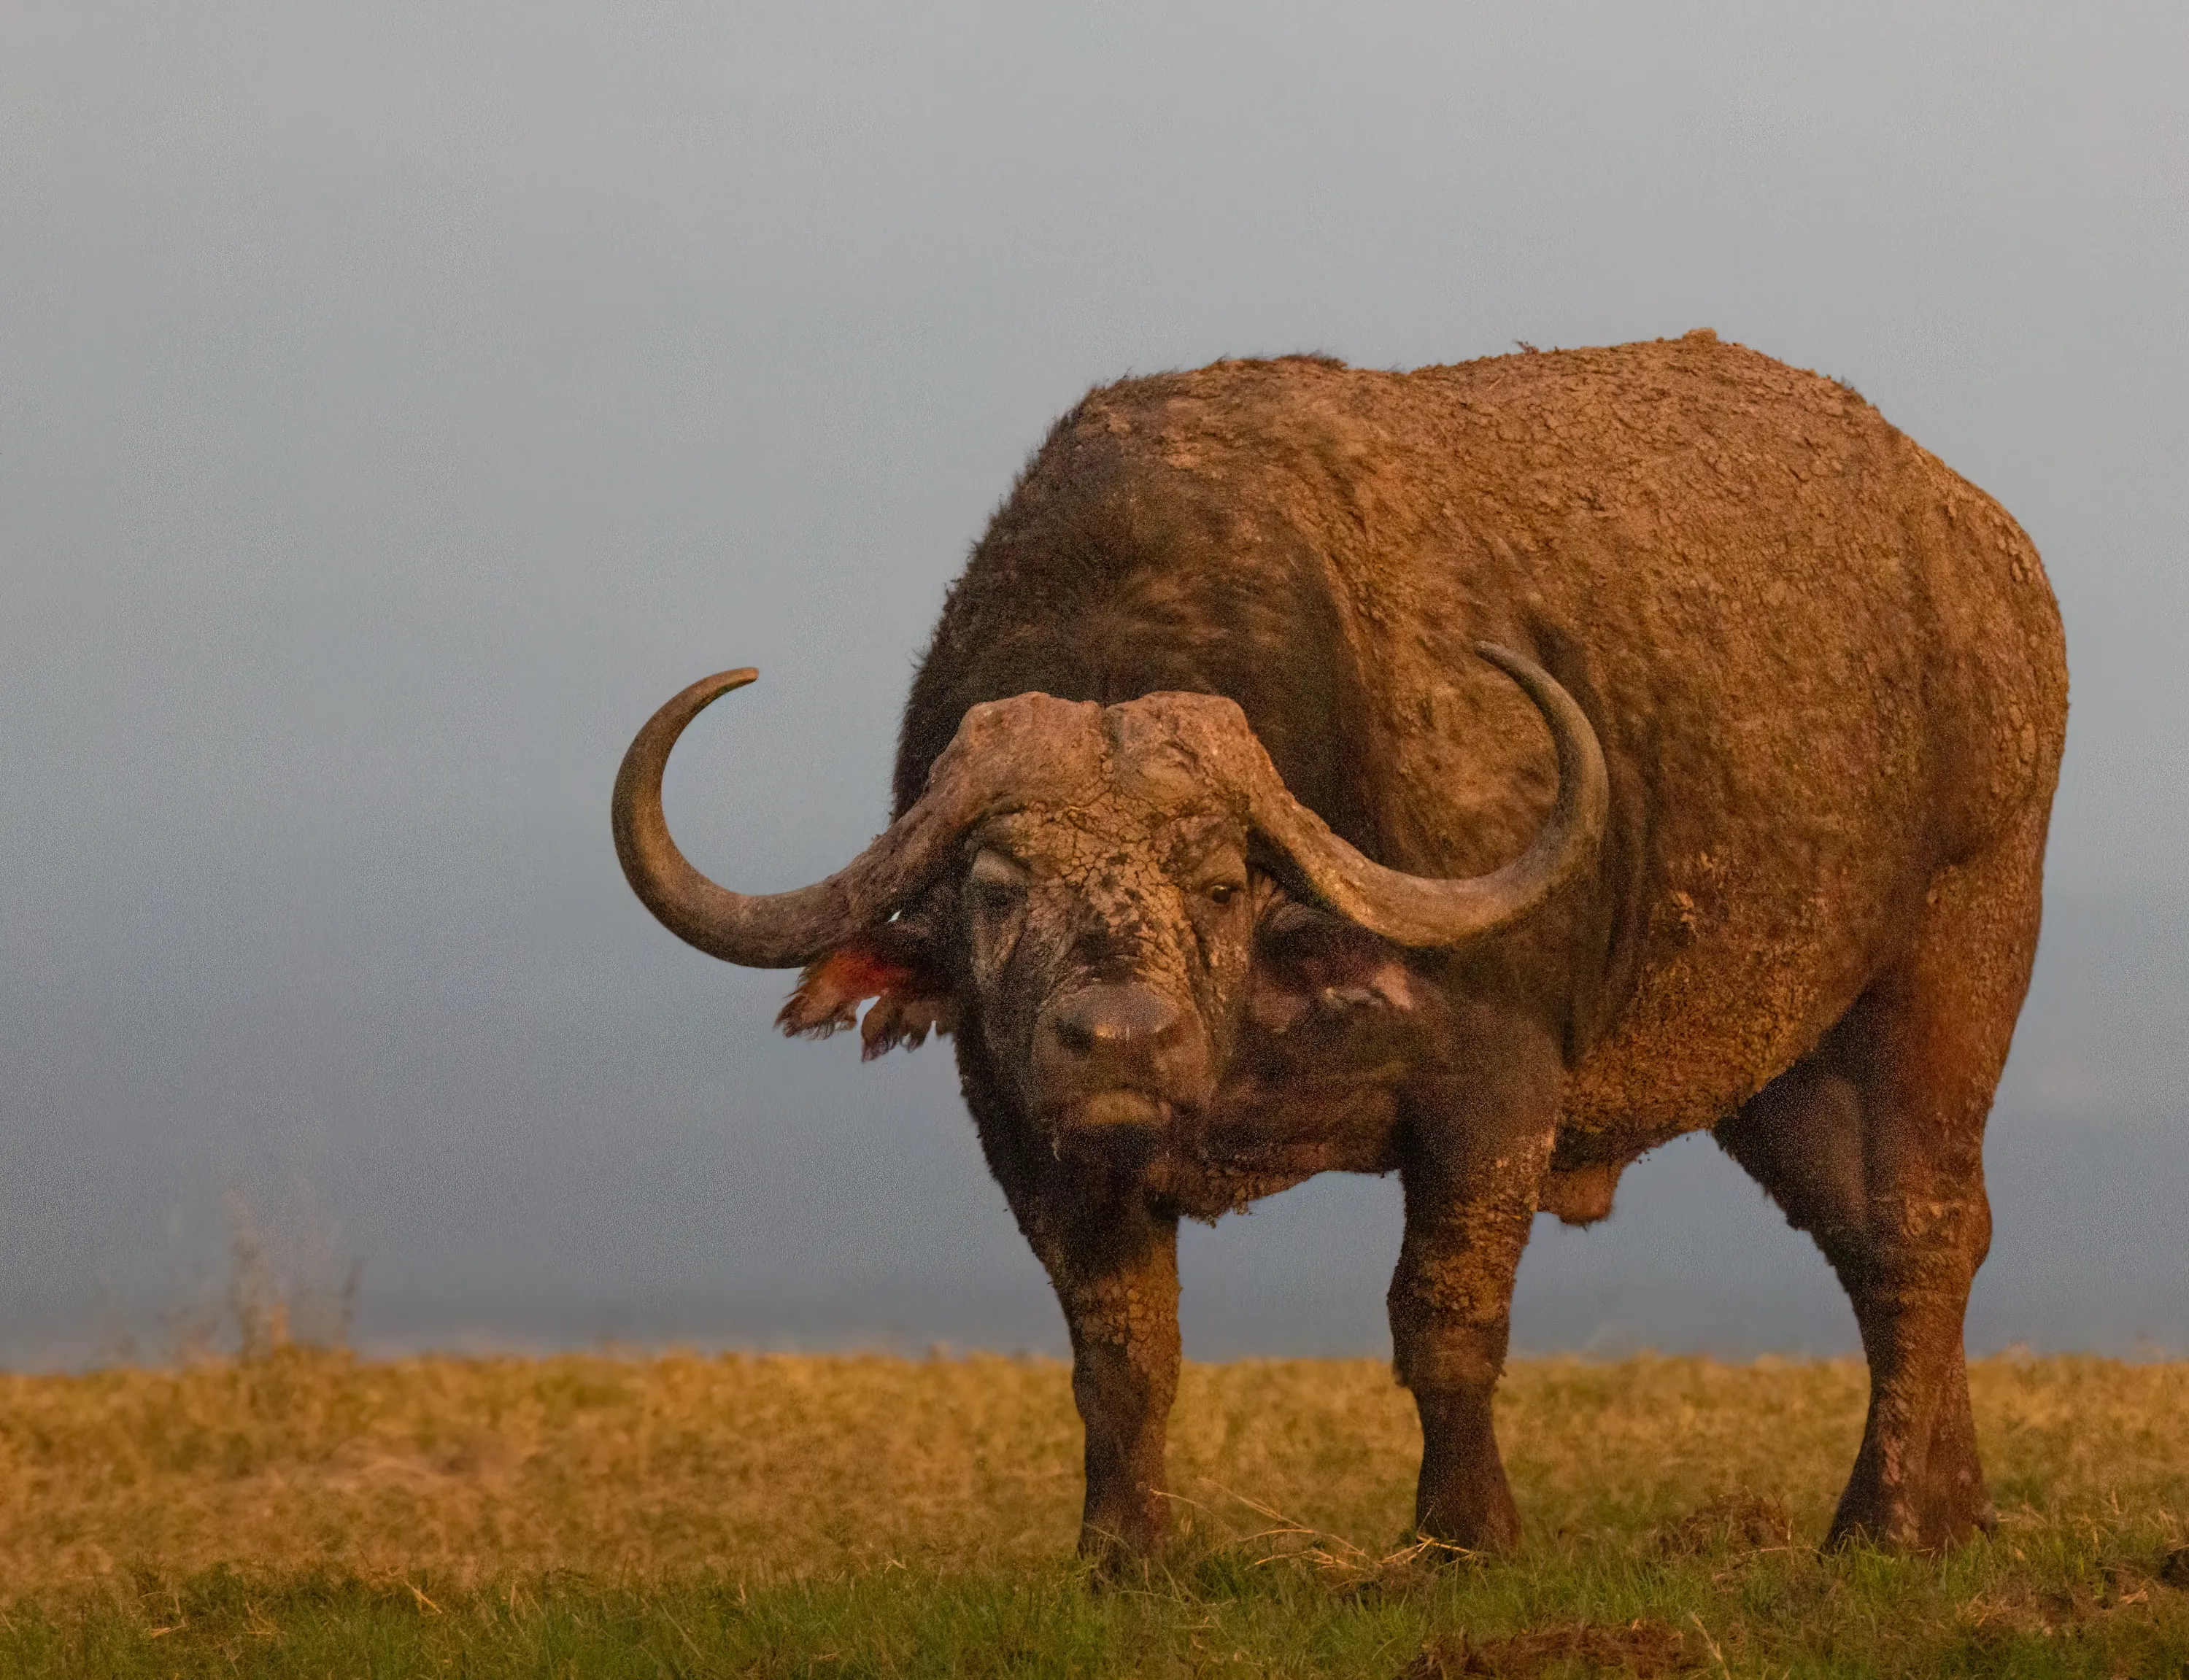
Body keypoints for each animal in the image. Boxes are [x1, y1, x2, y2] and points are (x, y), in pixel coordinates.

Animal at [613, 331, 2067, 1559]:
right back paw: (1951, 1507)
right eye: (994, 884)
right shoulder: (1027, 1127)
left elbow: (1444, 1318)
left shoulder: (1493, 1089)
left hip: (1956, 949)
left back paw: (1886, 1526)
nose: (1120, 1041)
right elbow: (1121, 1347)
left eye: (1217, 882)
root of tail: (1989, 555)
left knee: (1927, 1225)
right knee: (1876, 1240)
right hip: (1780, 1063)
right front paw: (1122, 1553)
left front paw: (1465, 1537)